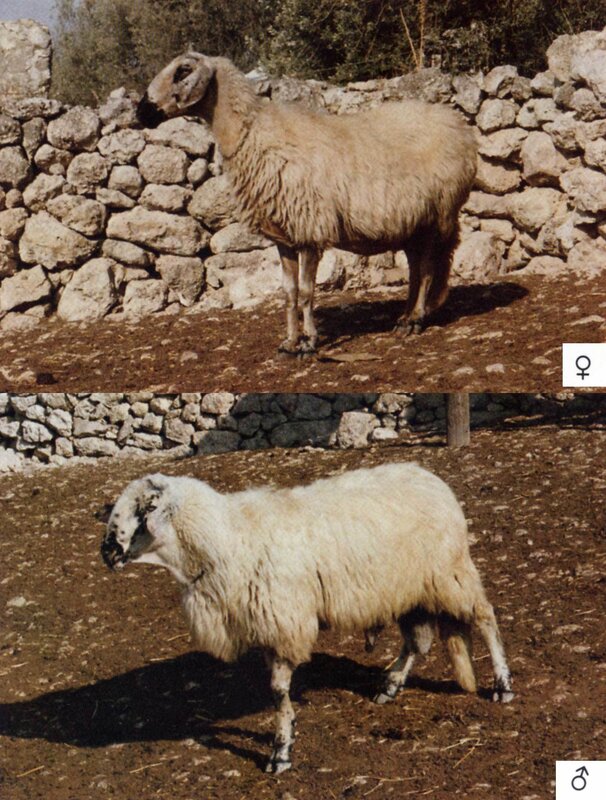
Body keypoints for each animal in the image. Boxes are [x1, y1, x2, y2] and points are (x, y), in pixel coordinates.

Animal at [101, 462, 513, 774]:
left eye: (140, 510)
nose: (106, 553)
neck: (224, 540)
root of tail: (430, 477)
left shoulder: (285, 623)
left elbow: (278, 692)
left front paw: (280, 752)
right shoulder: (266, 626)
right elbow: (275, 689)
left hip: (450, 574)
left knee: (485, 618)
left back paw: (502, 685)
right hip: (408, 590)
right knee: (417, 641)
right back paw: (390, 685)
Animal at [137, 53, 477, 355]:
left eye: (182, 70)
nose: (142, 112)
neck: (253, 134)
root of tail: (460, 127)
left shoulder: (310, 231)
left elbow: (306, 293)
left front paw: (309, 343)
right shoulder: (284, 237)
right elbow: (288, 294)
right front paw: (289, 343)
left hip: (439, 214)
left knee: (429, 268)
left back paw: (416, 318)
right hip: (412, 222)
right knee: (417, 268)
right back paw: (404, 318)